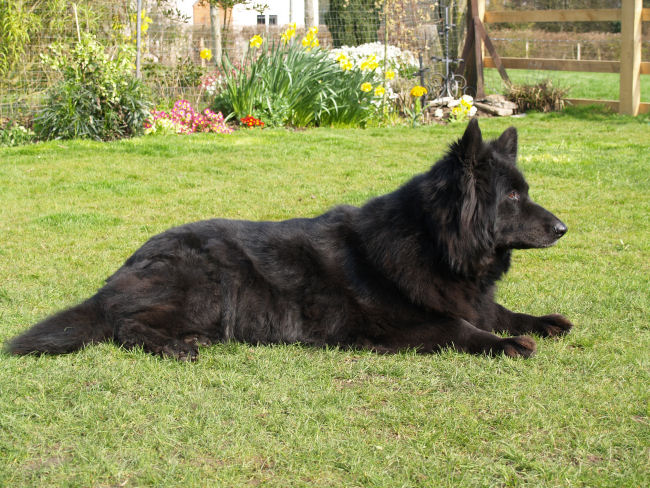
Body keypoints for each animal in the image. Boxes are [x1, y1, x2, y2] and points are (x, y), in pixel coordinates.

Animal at [6, 119, 572, 360]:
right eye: (513, 197)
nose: (563, 228)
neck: (435, 243)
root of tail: (119, 273)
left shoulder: (473, 298)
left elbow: (500, 312)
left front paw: (543, 322)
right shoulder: (403, 327)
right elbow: (463, 328)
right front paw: (508, 345)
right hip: (208, 282)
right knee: (125, 325)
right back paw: (174, 347)